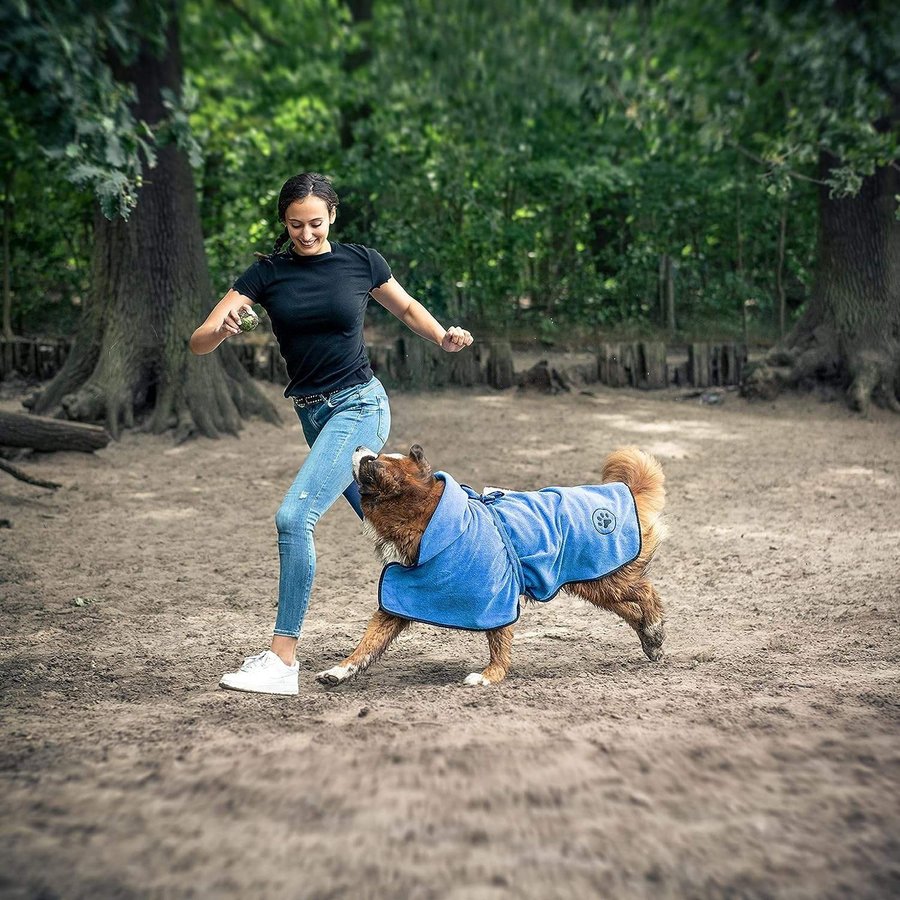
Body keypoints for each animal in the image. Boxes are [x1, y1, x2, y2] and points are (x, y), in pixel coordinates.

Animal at [316, 444, 668, 688]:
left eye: (371, 462)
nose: (359, 447)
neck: (427, 519)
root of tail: (626, 490)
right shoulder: (403, 598)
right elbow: (369, 641)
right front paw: (339, 670)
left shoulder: (495, 594)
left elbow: (498, 639)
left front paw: (491, 675)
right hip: (595, 583)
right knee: (631, 608)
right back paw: (652, 642)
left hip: (605, 579)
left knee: (646, 591)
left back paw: (653, 627)